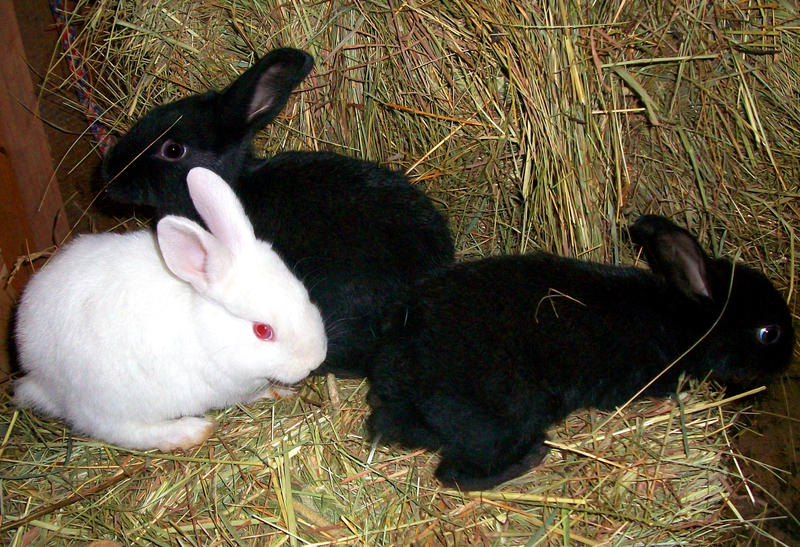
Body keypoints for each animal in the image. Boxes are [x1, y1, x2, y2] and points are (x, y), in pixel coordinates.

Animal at [14, 167, 327, 451]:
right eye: (263, 331)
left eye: (304, 295)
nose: (315, 360)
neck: (205, 331)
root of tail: (36, 371)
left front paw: (281, 391)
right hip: (108, 400)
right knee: (120, 431)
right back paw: (189, 431)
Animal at [366, 215, 795, 490]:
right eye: (768, 333)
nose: (787, 361)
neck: (685, 320)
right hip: (503, 421)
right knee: (455, 474)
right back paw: (534, 456)